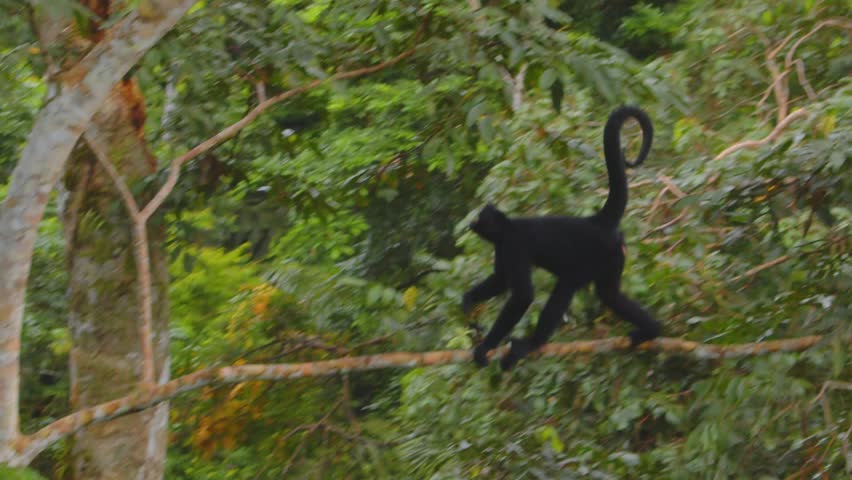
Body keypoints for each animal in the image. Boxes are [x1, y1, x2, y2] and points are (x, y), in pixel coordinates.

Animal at [463, 106, 662, 370]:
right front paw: (469, 299)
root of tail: (596, 221)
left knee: (567, 286)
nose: (471, 221)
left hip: (601, 253)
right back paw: (653, 329)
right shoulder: (501, 246)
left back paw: (533, 343)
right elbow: (501, 279)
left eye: (479, 216)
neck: (508, 228)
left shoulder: (513, 244)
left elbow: (523, 295)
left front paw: (486, 346)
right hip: (614, 255)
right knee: (609, 294)